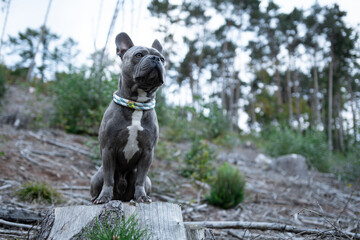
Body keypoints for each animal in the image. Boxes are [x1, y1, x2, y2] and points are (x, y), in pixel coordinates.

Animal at [90, 31, 165, 203]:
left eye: (163, 59)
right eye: (139, 55)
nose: (156, 59)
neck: (136, 104)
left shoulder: (147, 152)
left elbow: (140, 179)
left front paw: (142, 197)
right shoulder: (108, 149)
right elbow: (109, 177)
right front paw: (104, 197)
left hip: (147, 180)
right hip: (96, 176)